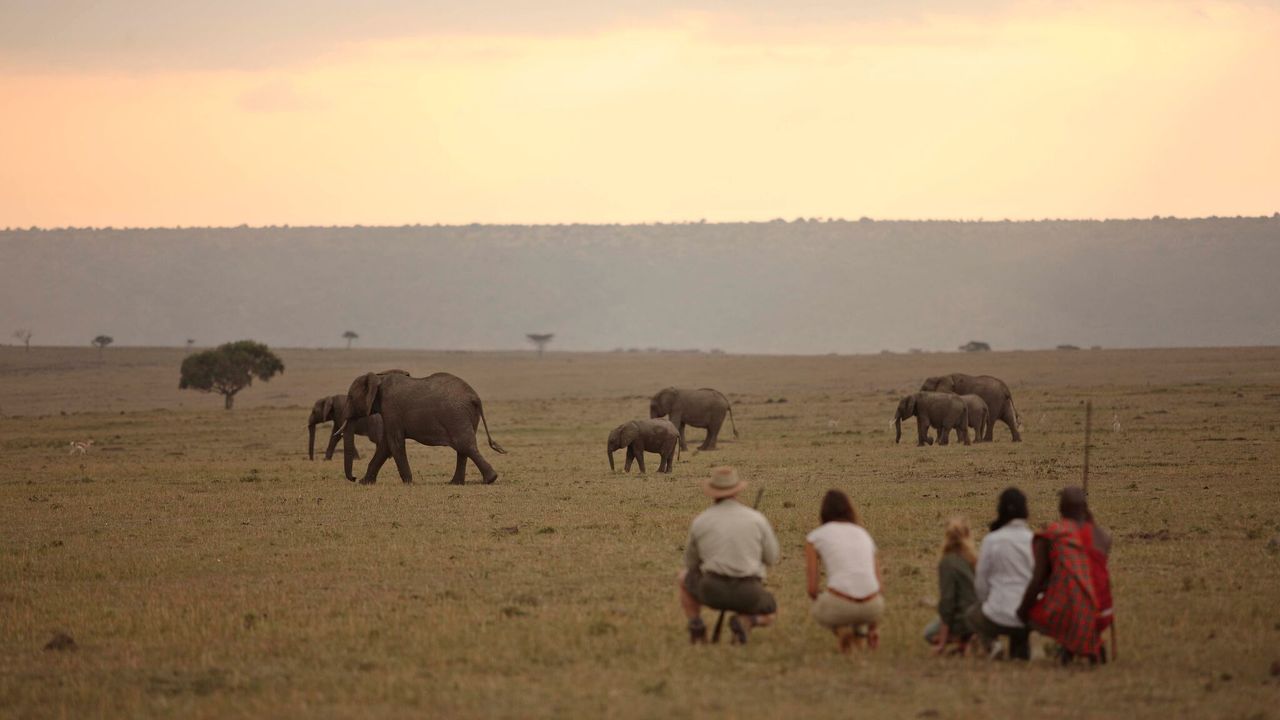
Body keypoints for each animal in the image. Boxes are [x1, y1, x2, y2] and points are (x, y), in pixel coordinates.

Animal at [330, 368, 504, 481]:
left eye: (350, 397)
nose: (353, 478)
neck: (379, 377)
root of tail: (475, 397)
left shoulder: (391, 408)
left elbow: (394, 442)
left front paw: (408, 482)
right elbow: (385, 444)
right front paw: (365, 482)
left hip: (457, 415)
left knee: (464, 445)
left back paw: (490, 479)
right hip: (465, 415)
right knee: (463, 448)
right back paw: (456, 483)